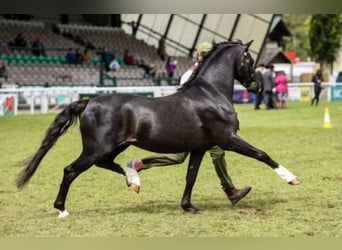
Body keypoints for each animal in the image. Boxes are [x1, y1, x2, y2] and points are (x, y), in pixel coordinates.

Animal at [16, 40, 300, 218]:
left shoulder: (199, 148)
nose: (256, 86)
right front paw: (292, 179)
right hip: (97, 148)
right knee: (71, 170)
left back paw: (134, 180)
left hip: (117, 145)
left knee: (107, 164)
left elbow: (191, 176)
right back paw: (62, 209)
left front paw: (189, 207)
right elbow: (262, 154)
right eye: (249, 59)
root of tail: (87, 102)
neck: (210, 94)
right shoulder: (228, 139)